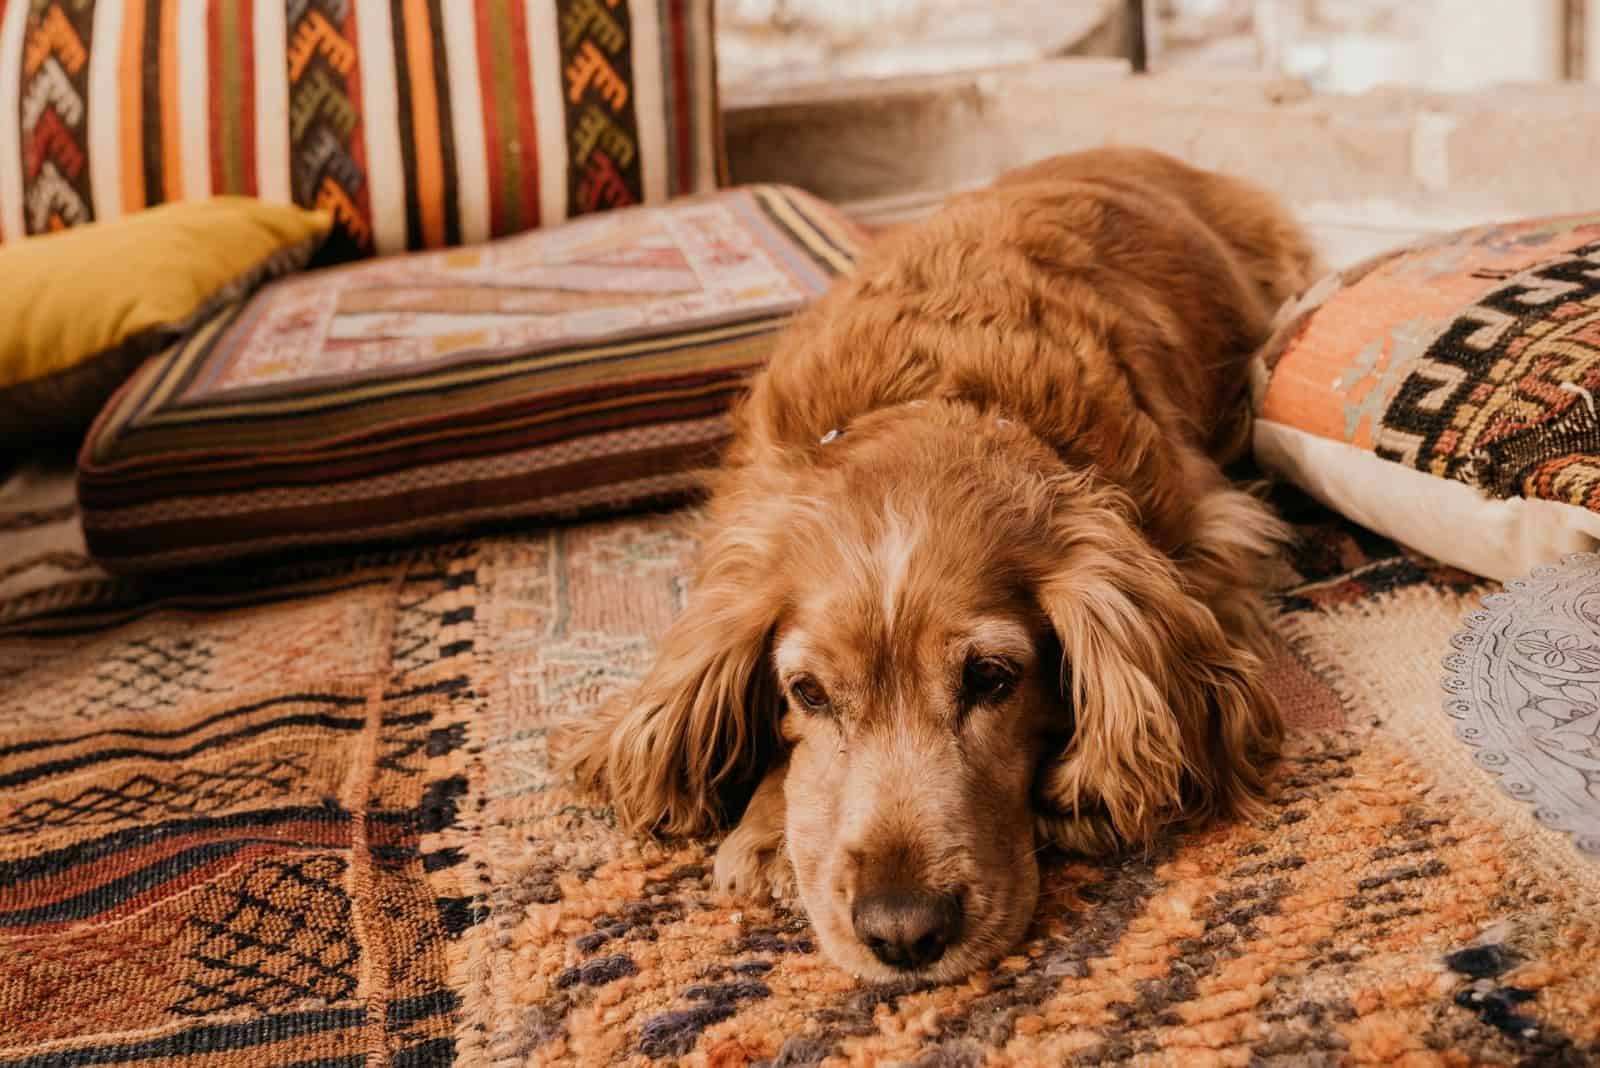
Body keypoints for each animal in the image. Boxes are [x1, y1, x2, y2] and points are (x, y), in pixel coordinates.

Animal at [563, 146, 1324, 978]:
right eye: (807, 692)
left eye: (992, 678)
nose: (903, 932)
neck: (938, 395)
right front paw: (769, 828)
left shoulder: (1212, 535)